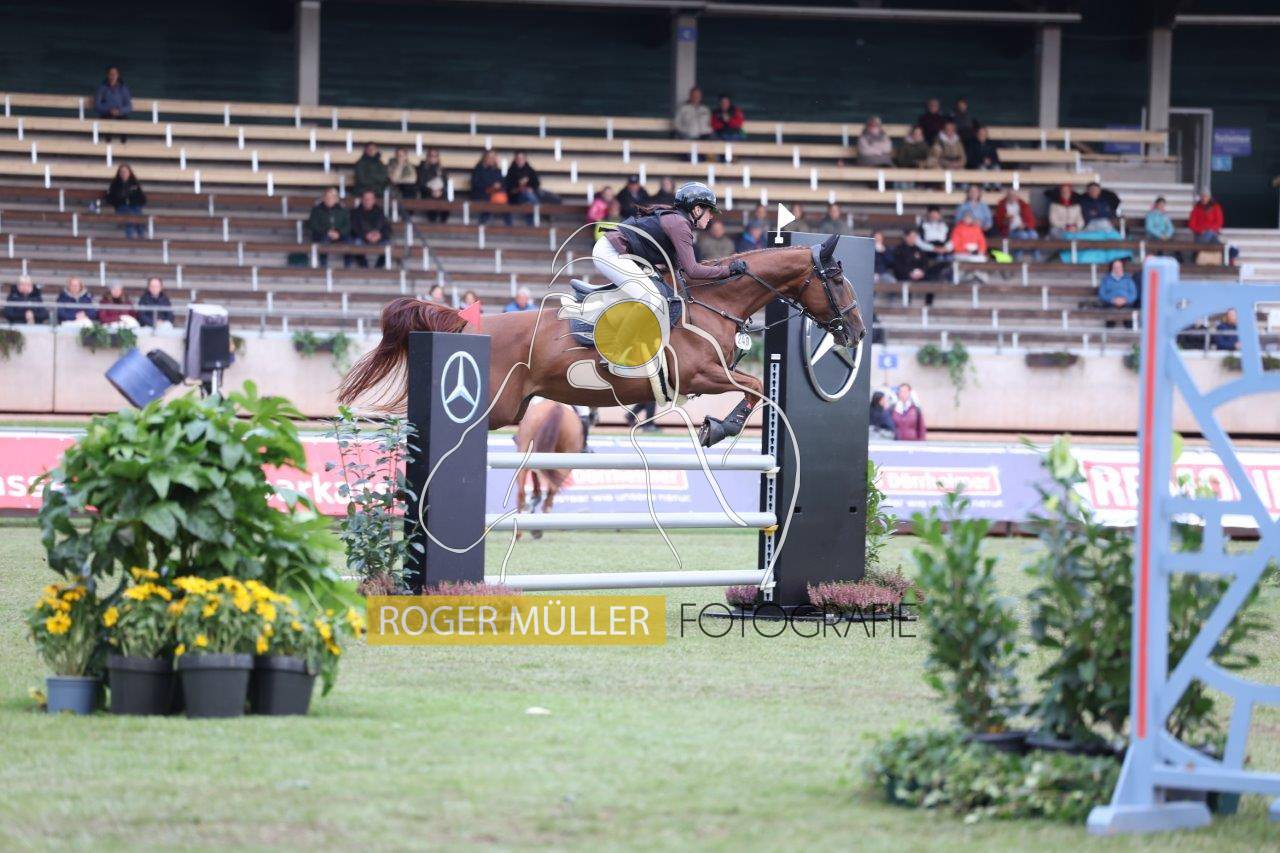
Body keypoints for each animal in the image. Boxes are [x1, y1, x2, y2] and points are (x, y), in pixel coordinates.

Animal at [337, 233, 865, 446]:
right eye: (838, 278)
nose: (858, 332)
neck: (713, 301)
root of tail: (470, 327)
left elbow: (755, 389)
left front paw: (719, 426)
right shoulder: (700, 374)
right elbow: (755, 388)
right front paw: (720, 428)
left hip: (510, 410)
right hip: (494, 406)